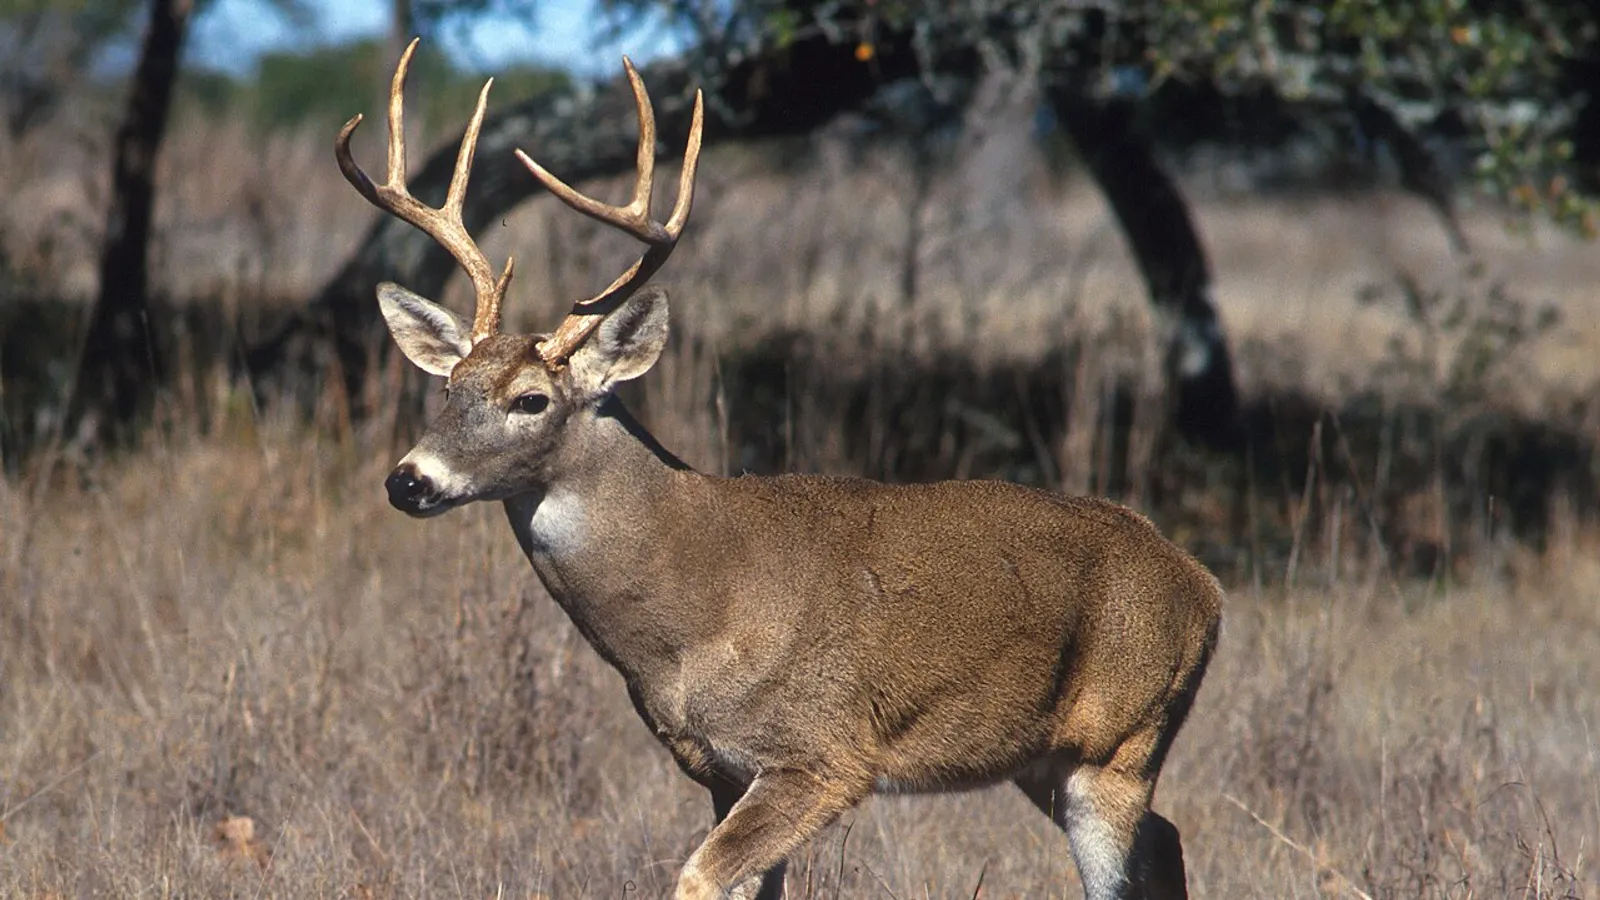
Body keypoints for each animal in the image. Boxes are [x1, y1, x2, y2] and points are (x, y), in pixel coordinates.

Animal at [337, 39, 1223, 900]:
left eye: (530, 399)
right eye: (449, 386)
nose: (407, 480)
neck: (692, 609)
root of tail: (1204, 587)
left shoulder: (821, 755)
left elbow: (697, 876)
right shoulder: (720, 770)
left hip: (1120, 742)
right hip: (1045, 760)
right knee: (1170, 841)